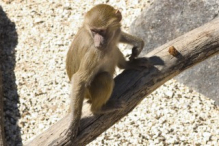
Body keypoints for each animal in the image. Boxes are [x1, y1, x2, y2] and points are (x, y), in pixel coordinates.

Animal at [65, 3, 151, 139]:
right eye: (94, 31)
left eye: (101, 31)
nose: (98, 42)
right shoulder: (95, 51)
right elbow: (80, 79)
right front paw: (74, 123)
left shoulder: (113, 33)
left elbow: (119, 34)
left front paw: (138, 44)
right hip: (89, 92)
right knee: (105, 77)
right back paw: (98, 109)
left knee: (112, 48)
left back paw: (127, 65)